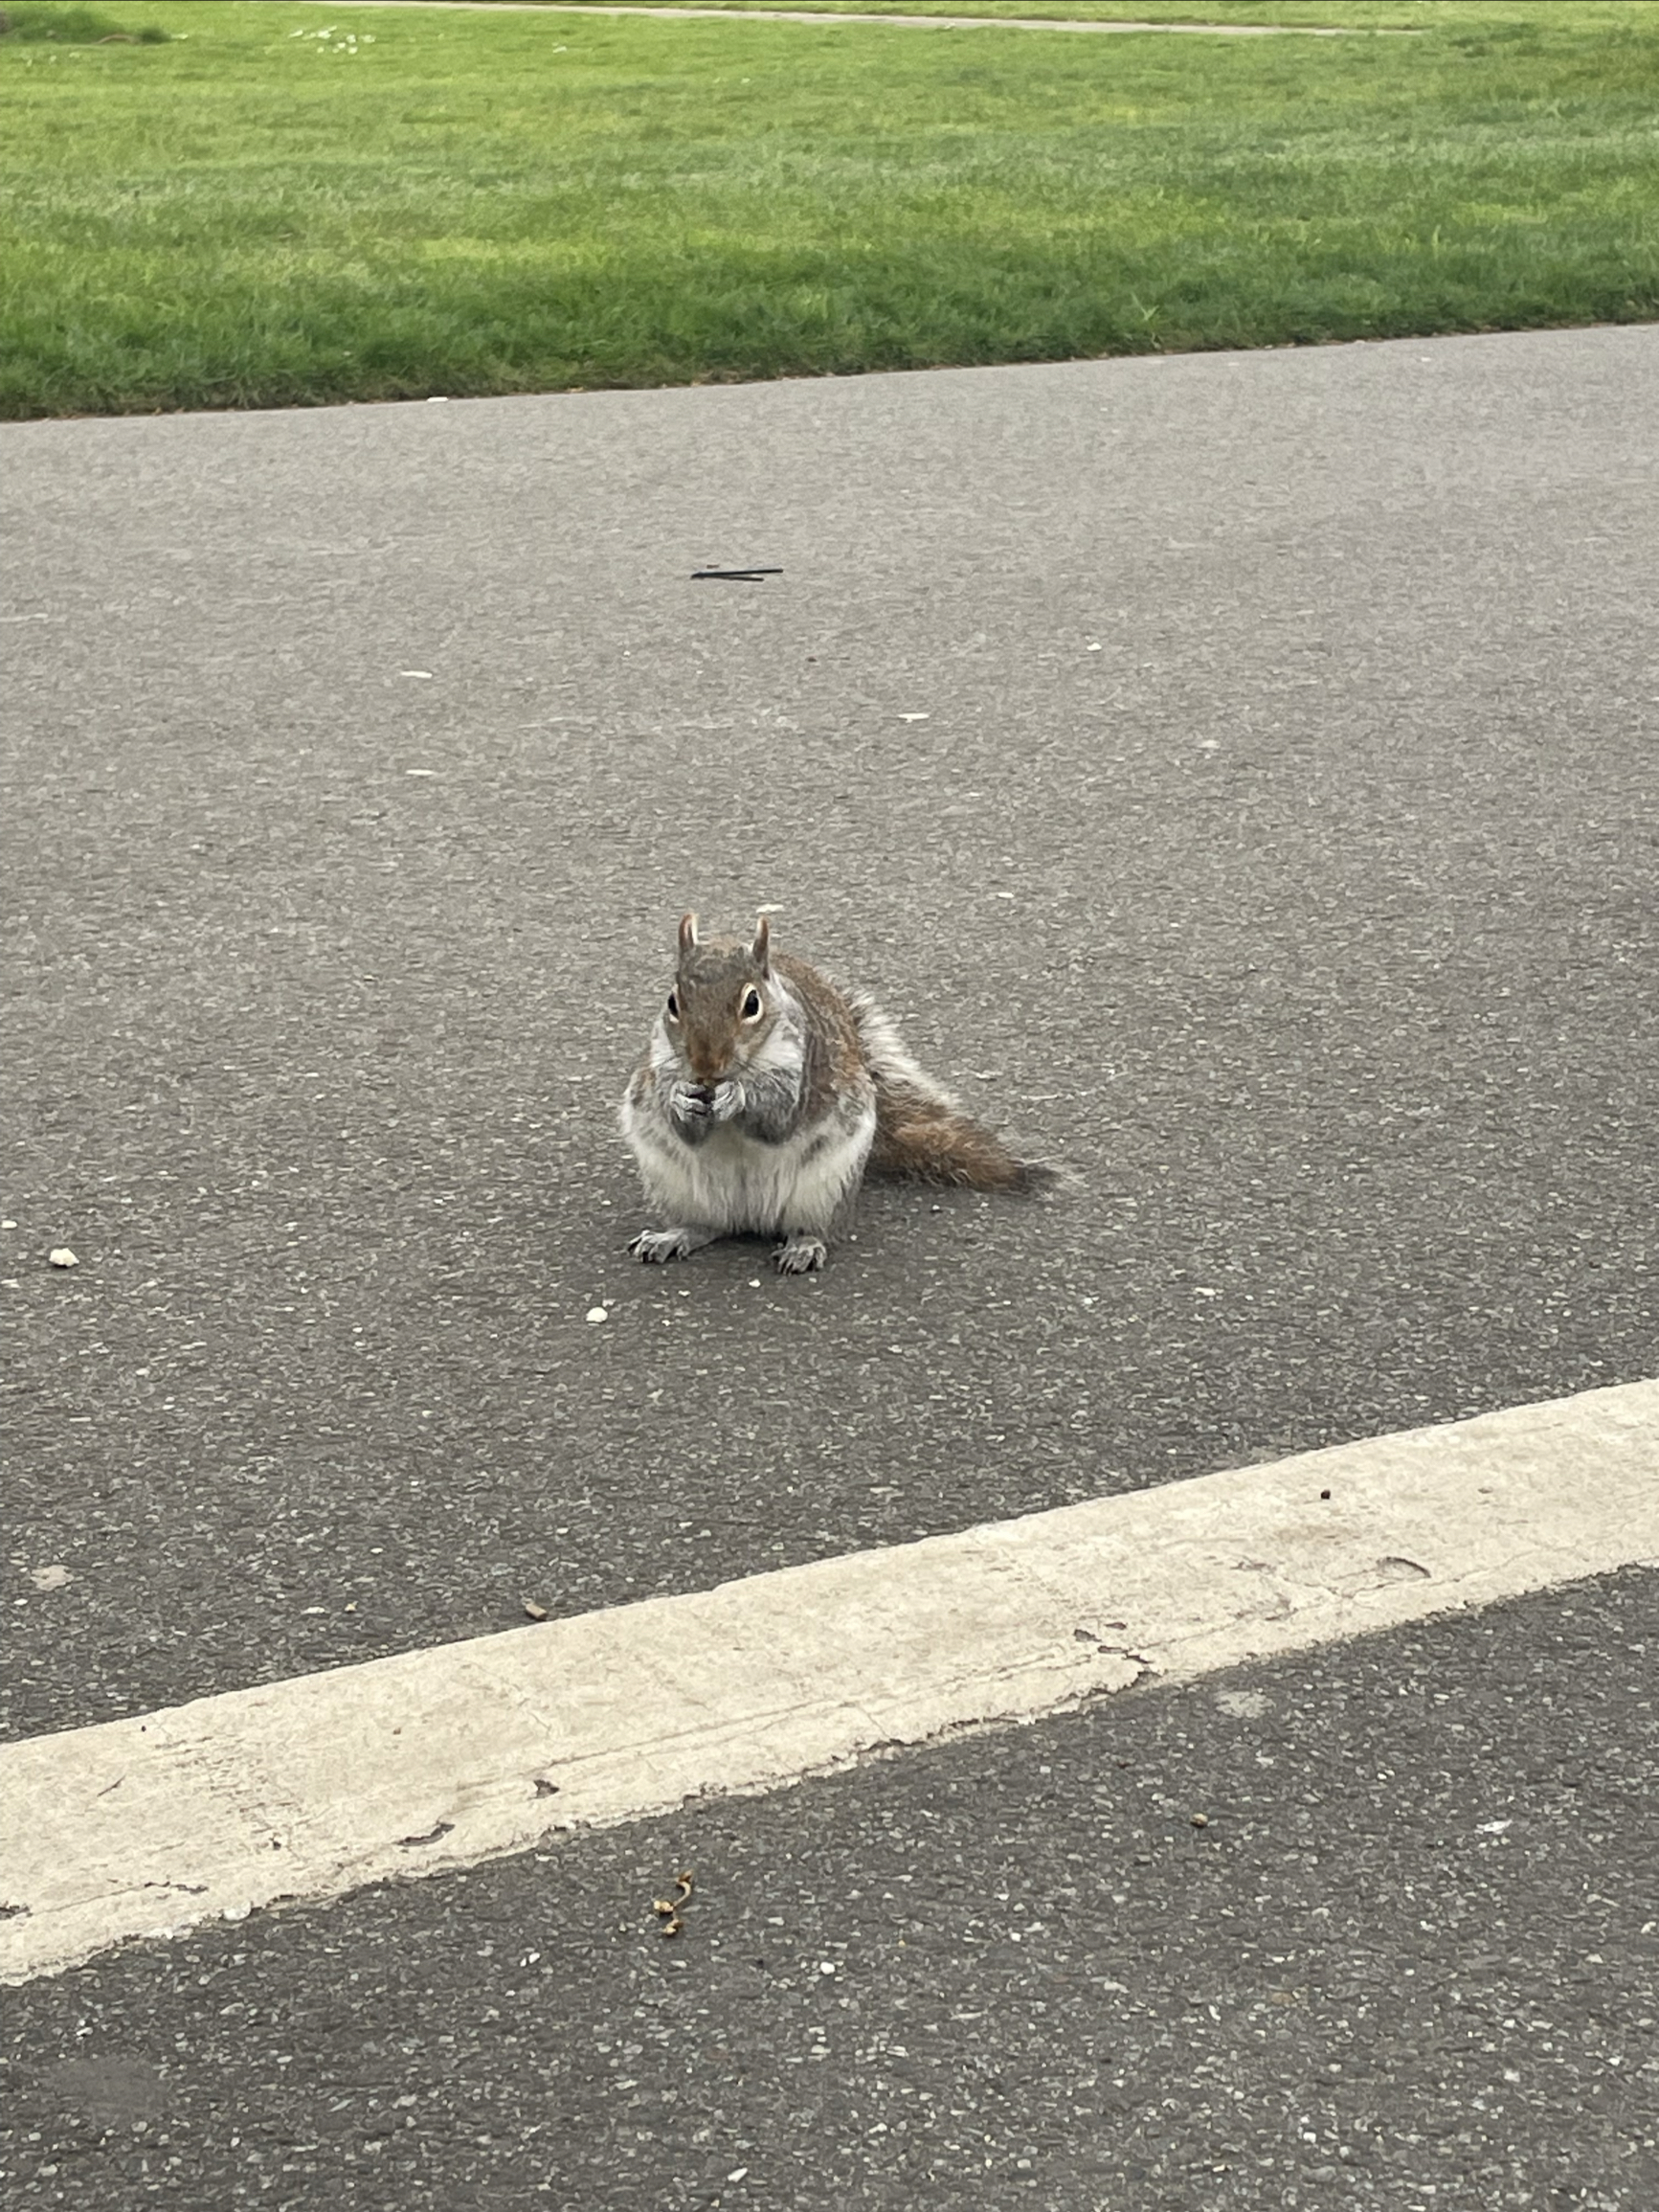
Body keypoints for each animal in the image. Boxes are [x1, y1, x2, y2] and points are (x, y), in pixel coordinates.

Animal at [618, 911, 1057, 1265]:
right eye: (672, 1003)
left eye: (752, 1004)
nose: (706, 1065)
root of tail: (751, 1217)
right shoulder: (661, 1064)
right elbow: (683, 1125)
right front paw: (681, 1101)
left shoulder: (804, 1065)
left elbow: (778, 1120)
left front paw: (738, 1097)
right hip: (676, 1187)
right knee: (708, 1227)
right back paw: (673, 1236)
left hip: (825, 1188)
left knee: (810, 1227)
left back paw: (803, 1246)